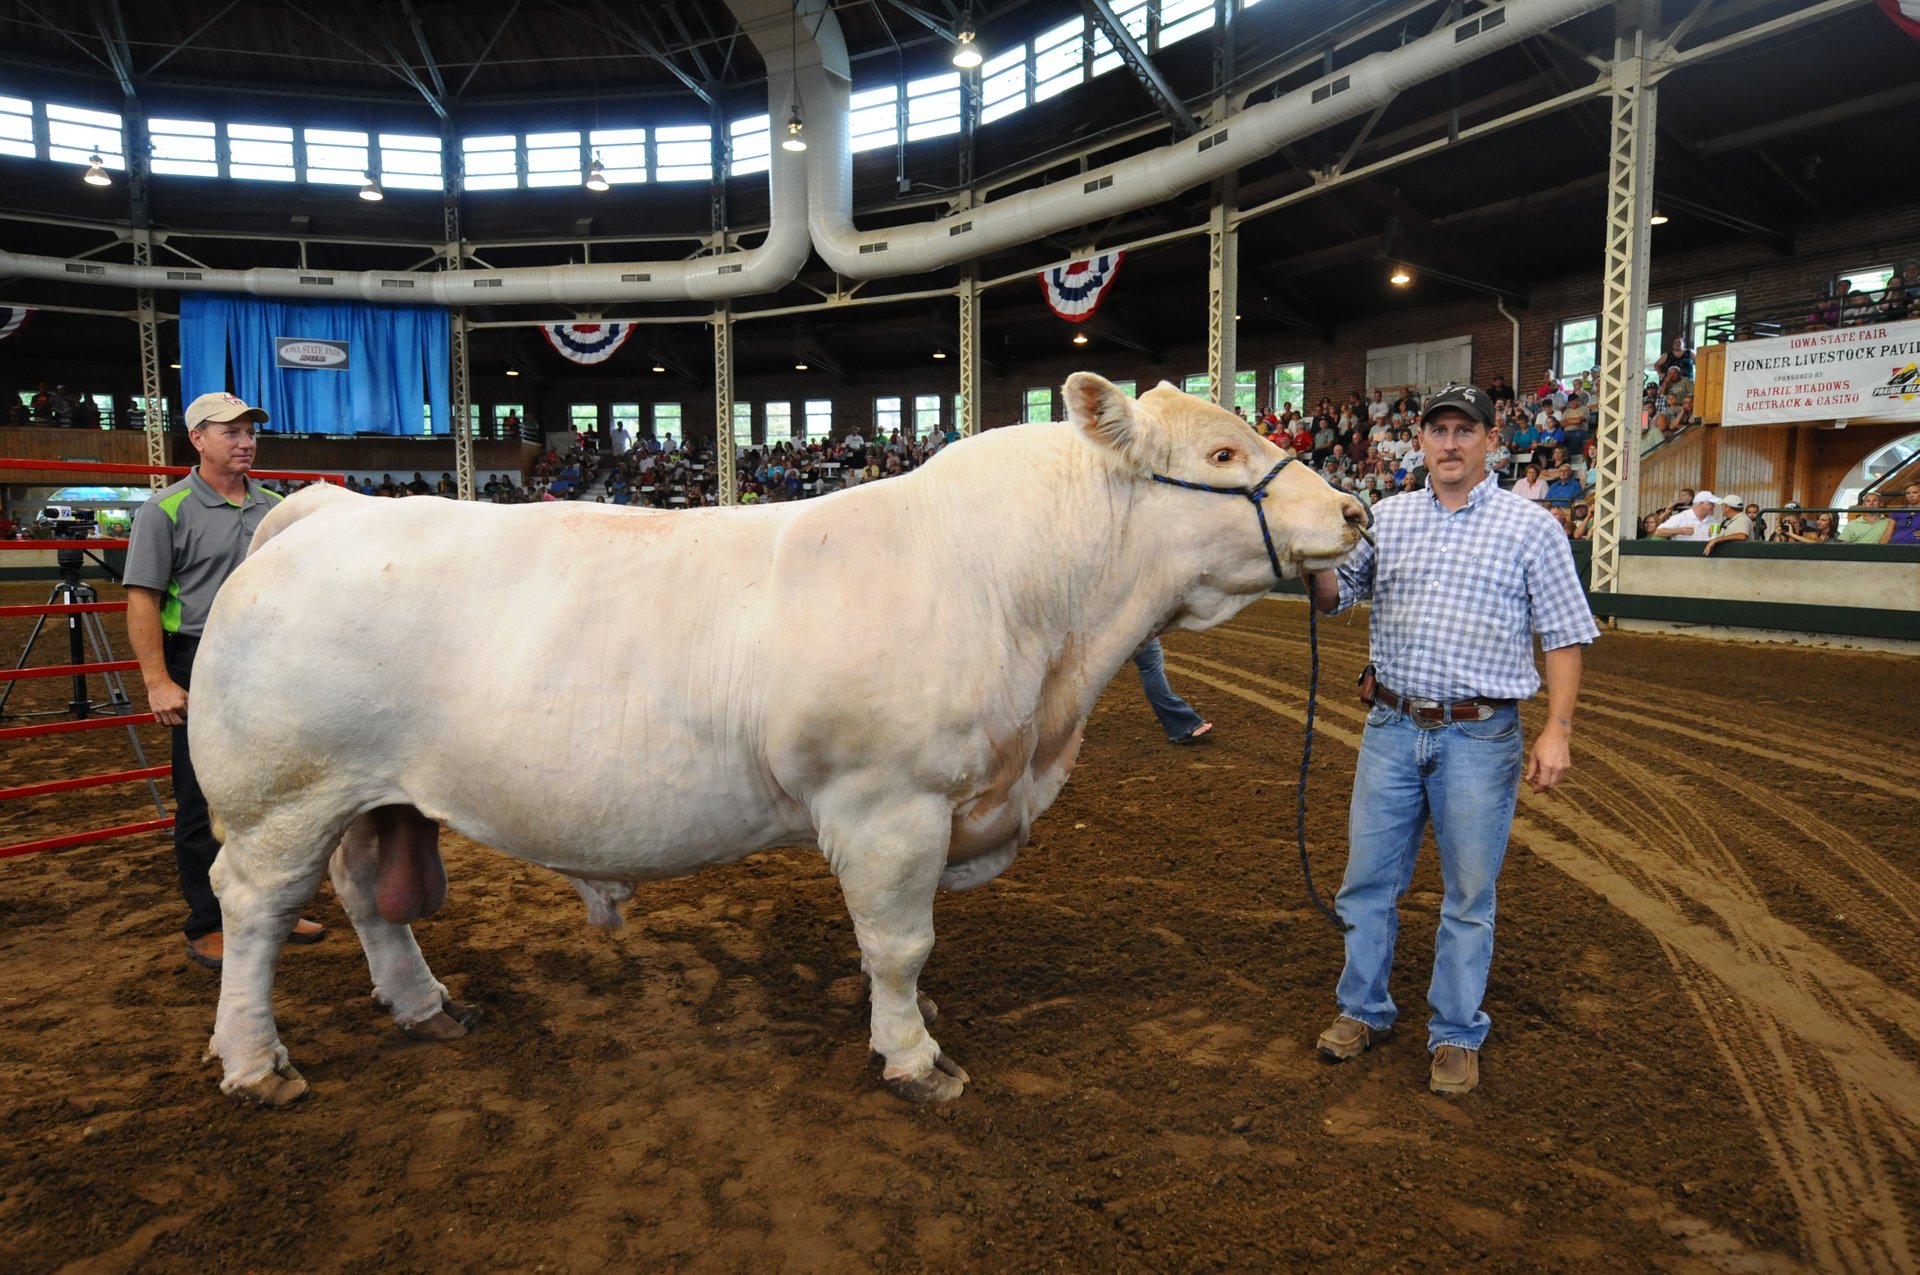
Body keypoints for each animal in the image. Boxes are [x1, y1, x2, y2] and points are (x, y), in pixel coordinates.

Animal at [194, 374, 1367, 1098]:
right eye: (1224, 448)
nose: (1355, 512)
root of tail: (328, 507)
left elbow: (903, 946)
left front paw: (910, 1023)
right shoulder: (890, 804)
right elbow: (899, 941)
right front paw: (913, 1055)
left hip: (370, 796)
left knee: (369, 903)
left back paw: (424, 1006)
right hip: (280, 796)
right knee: (255, 913)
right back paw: (255, 1062)